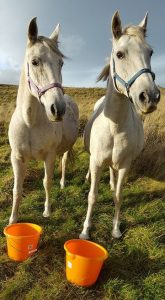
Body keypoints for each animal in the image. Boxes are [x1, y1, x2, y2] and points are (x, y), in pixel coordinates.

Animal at [8, 18, 79, 224]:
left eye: (61, 63)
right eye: (34, 62)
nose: (58, 109)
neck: (30, 123)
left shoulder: (49, 155)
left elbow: (47, 182)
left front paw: (47, 211)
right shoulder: (17, 157)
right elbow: (17, 189)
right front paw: (13, 219)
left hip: (66, 148)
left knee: (64, 161)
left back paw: (62, 182)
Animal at [80, 11, 160, 240]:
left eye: (150, 52)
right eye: (120, 54)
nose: (150, 97)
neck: (114, 126)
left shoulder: (125, 165)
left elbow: (118, 195)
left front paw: (115, 229)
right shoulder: (97, 162)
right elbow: (92, 196)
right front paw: (85, 230)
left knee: (113, 175)